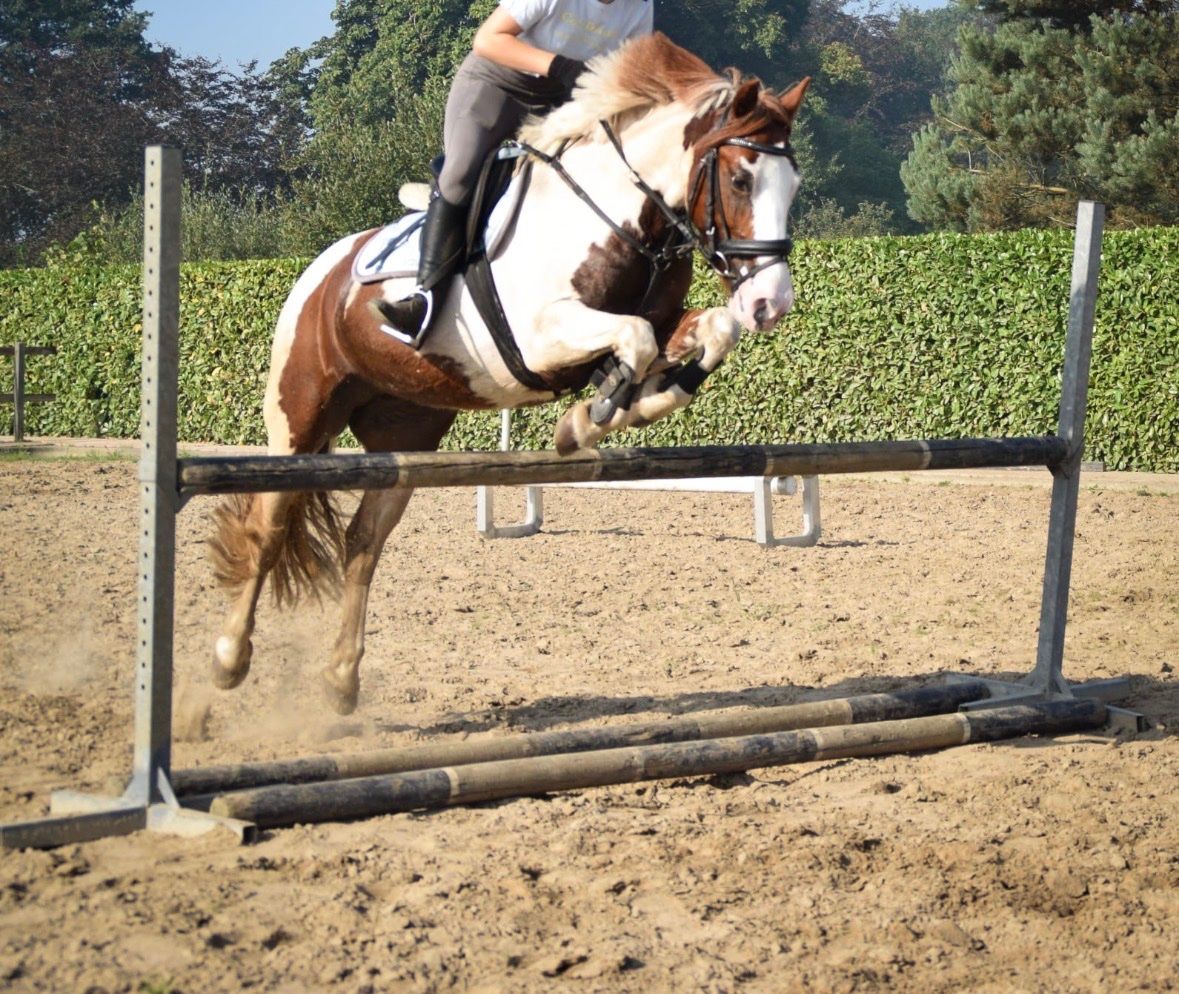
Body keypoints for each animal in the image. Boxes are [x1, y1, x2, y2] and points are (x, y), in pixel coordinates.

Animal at [209, 32, 811, 715]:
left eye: (793, 186)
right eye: (740, 178)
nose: (771, 303)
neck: (626, 219)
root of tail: (320, 270)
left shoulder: (660, 323)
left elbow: (705, 332)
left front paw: (621, 406)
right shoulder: (542, 335)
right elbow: (632, 337)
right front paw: (590, 418)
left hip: (408, 433)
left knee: (363, 540)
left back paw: (340, 678)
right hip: (300, 418)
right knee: (267, 527)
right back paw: (229, 660)